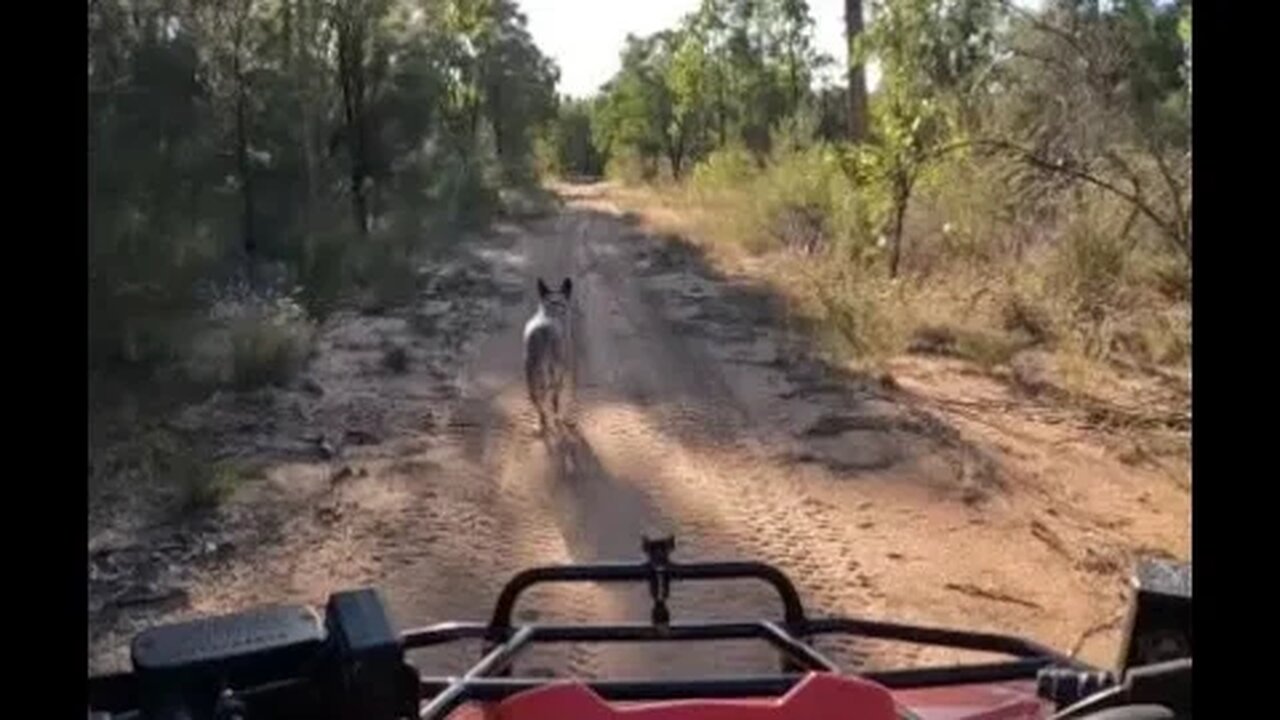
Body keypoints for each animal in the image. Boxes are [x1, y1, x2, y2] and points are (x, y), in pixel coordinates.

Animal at [524, 274, 576, 430]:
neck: (551, 309)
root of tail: (540, 331)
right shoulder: (562, 366)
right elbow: (557, 395)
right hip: (553, 368)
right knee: (552, 395)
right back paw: (555, 418)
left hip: (531, 370)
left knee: (536, 398)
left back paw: (542, 421)